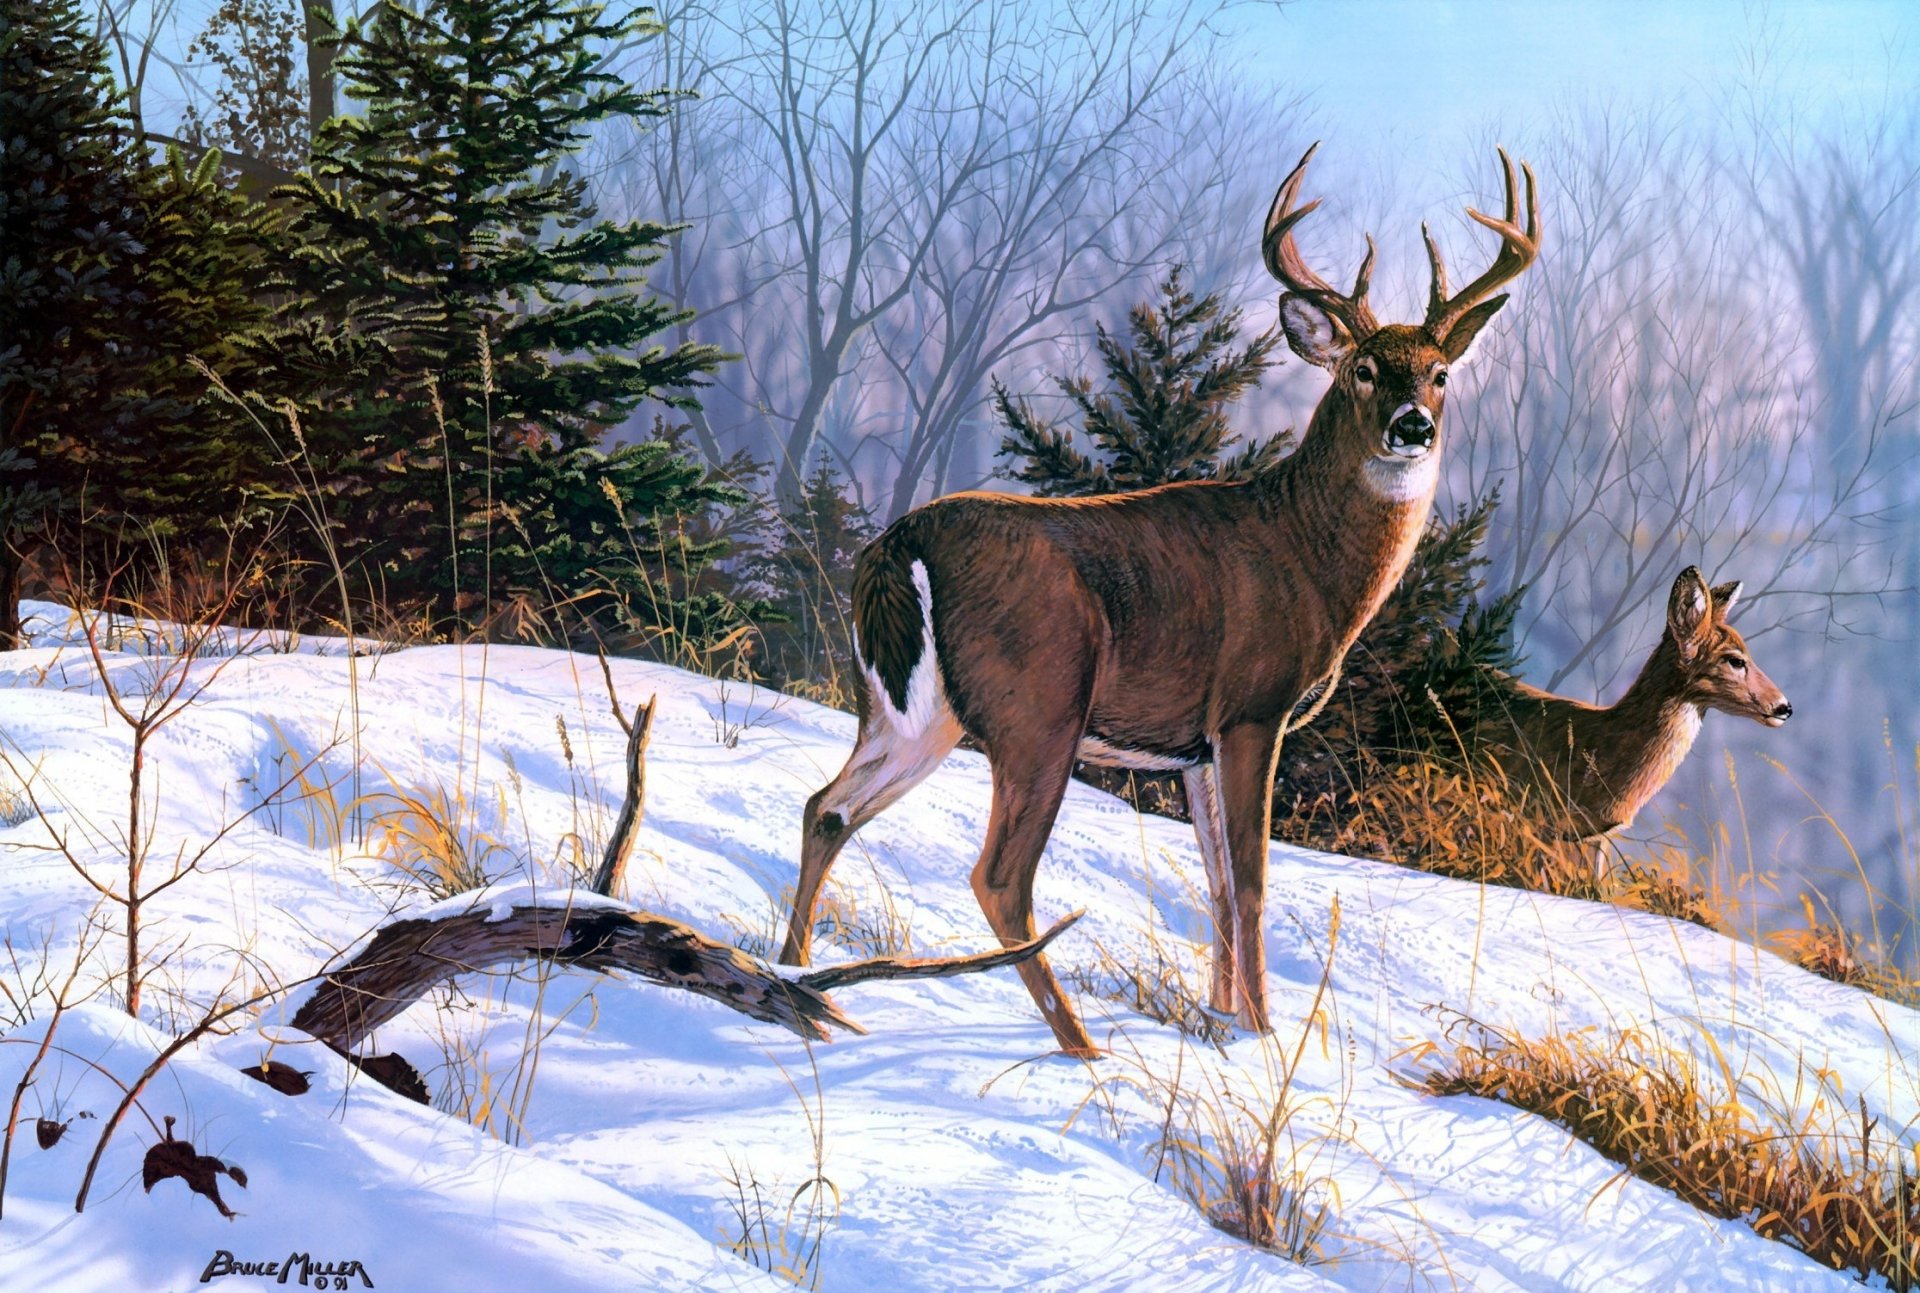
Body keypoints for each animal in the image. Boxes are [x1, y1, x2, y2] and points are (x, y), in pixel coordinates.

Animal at [776, 144, 1541, 1057]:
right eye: (1362, 369)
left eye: (1439, 373)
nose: (1412, 426)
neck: (1309, 557)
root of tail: (900, 543)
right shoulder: (1251, 708)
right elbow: (1251, 879)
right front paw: (1262, 1037)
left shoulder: (1195, 748)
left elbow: (1216, 884)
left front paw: (1225, 1022)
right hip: (1038, 708)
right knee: (998, 877)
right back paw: (1079, 1046)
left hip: (915, 713)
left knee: (826, 807)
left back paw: (796, 978)